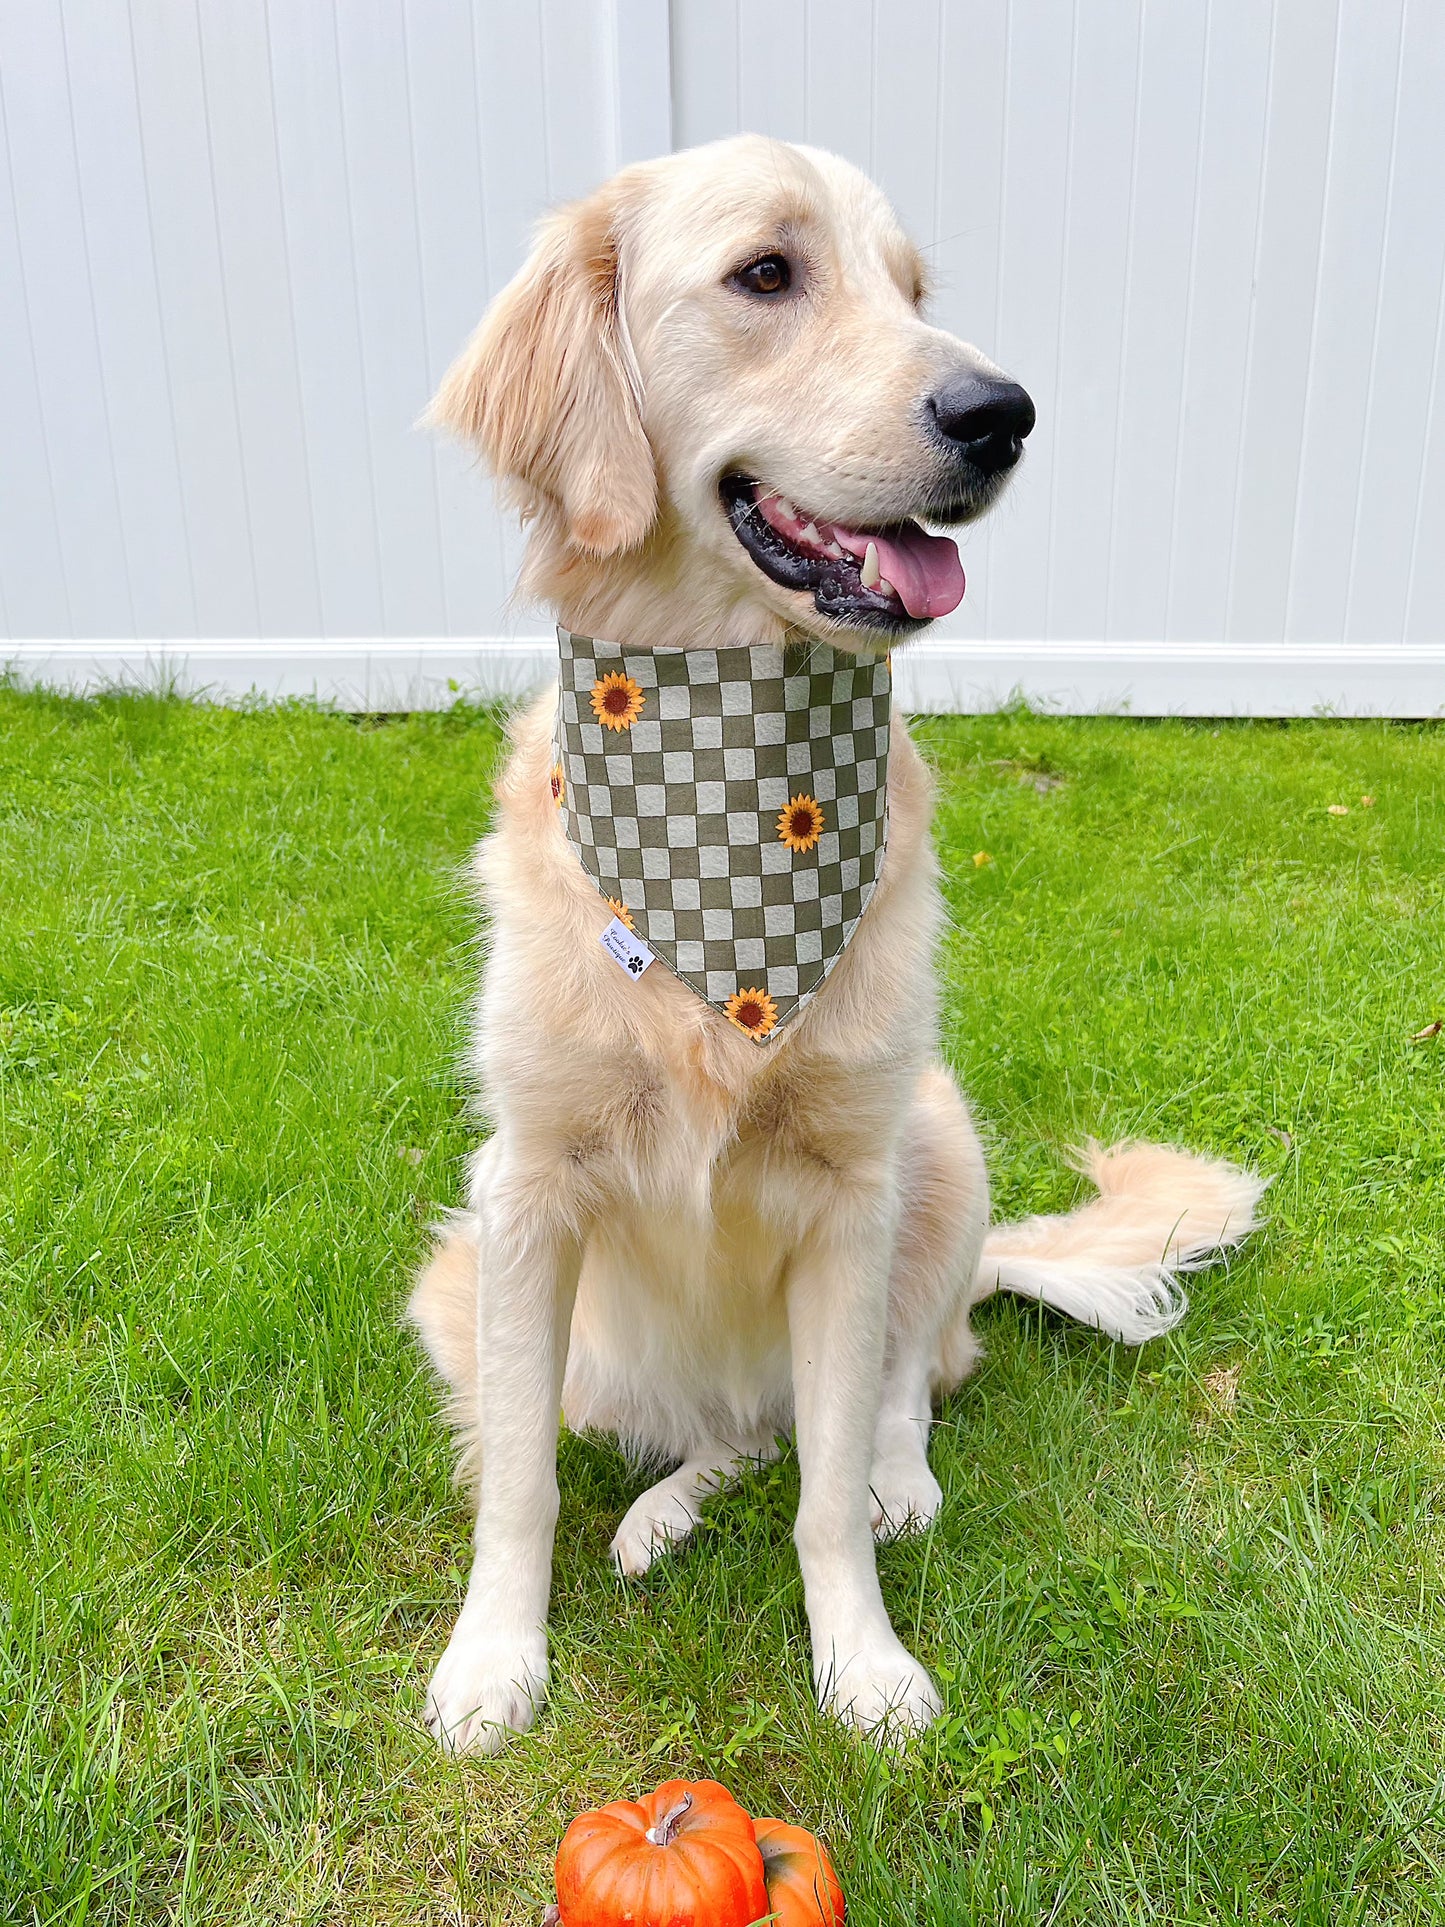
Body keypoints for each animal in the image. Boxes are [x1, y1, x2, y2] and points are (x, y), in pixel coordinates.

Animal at [410, 135, 1263, 1757]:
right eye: (766, 273)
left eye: (915, 290)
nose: (1000, 413)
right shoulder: (524, 1187)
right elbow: (520, 1483)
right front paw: (494, 1657)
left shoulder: (852, 1192)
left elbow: (827, 1492)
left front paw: (861, 1662)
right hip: (472, 1284)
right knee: (715, 1436)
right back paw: (660, 1509)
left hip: (938, 1138)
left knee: (899, 1383)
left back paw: (886, 1474)